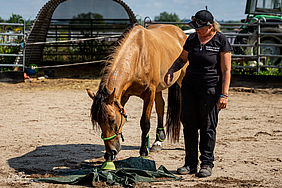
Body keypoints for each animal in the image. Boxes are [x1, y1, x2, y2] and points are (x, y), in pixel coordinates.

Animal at [86, 24, 187, 170]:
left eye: (112, 120)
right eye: (98, 122)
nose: (112, 151)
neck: (139, 56)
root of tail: (180, 32)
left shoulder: (149, 93)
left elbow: (145, 123)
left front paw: (143, 152)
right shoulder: (122, 96)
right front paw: (109, 159)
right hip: (159, 89)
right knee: (161, 106)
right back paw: (158, 141)